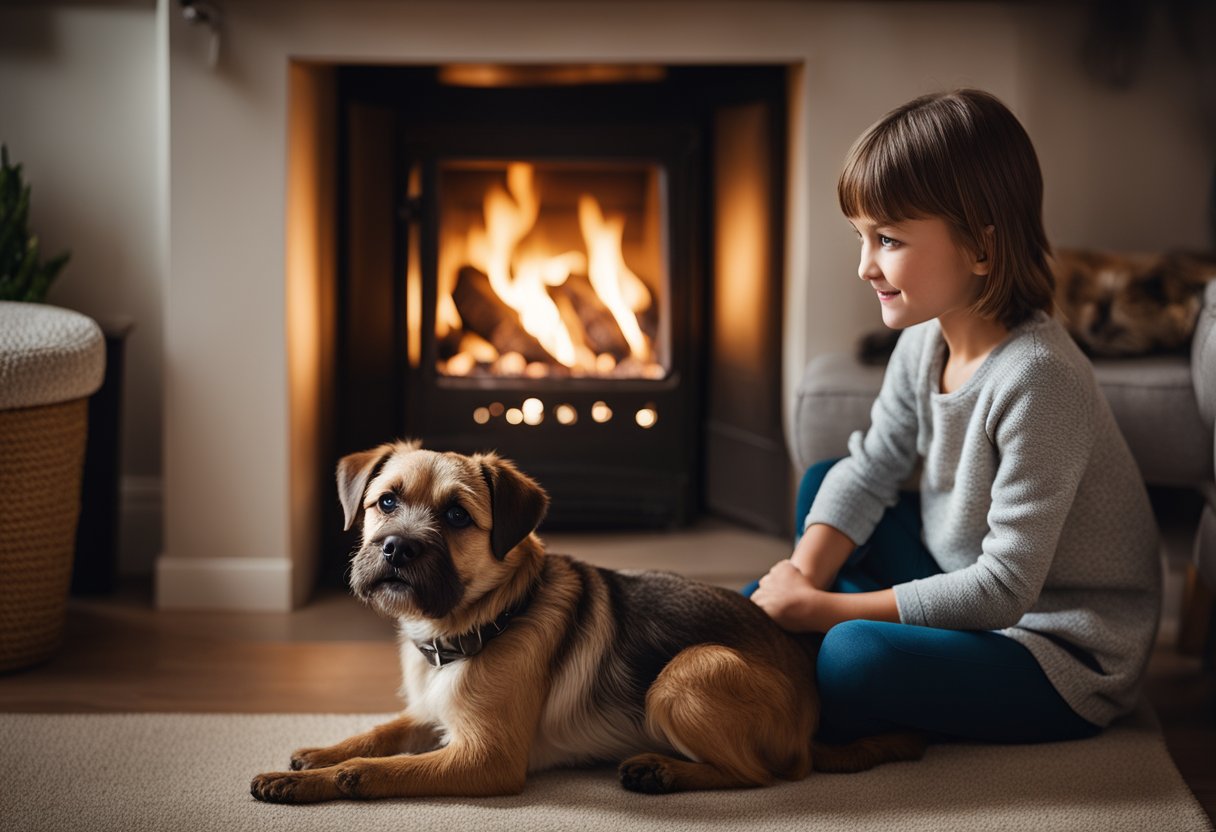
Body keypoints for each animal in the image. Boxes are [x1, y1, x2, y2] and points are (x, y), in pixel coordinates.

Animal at [251, 442, 924, 797]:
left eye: (457, 517)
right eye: (384, 502)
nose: (395, 548)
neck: (478, 623)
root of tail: (811, 720)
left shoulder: (485, 757)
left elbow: (373, 771)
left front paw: (311, 782)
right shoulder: (431, 713)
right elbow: (378, 734)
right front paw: (317, 753)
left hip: (685, 672)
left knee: (756, 775)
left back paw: (663, 770)